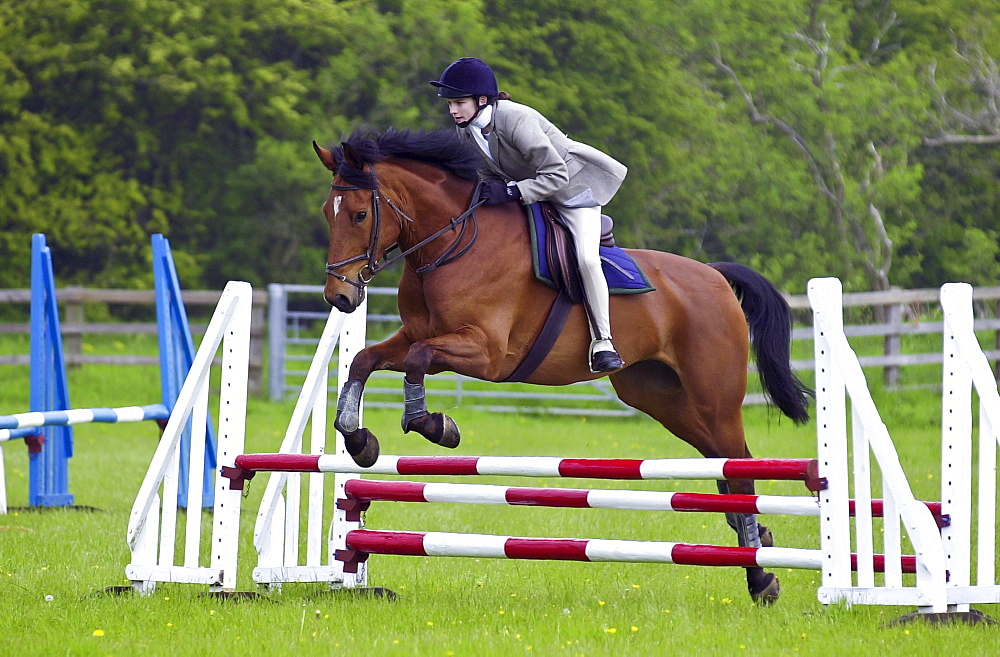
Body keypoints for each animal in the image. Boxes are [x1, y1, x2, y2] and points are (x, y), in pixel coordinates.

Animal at [312, 125, 812, 604]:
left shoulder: (485, 352)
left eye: (359, 215)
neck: (453, 243)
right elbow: (364, 360)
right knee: (724, 465)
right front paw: (359, 440)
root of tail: (716, 277)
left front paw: (434, 425)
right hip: (663, 399)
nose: (340, 297)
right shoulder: (418, 335)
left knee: (740, 466)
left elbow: (416, 361)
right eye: (326, 212)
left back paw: (760, 577)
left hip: (713, 397)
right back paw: (757, 545)